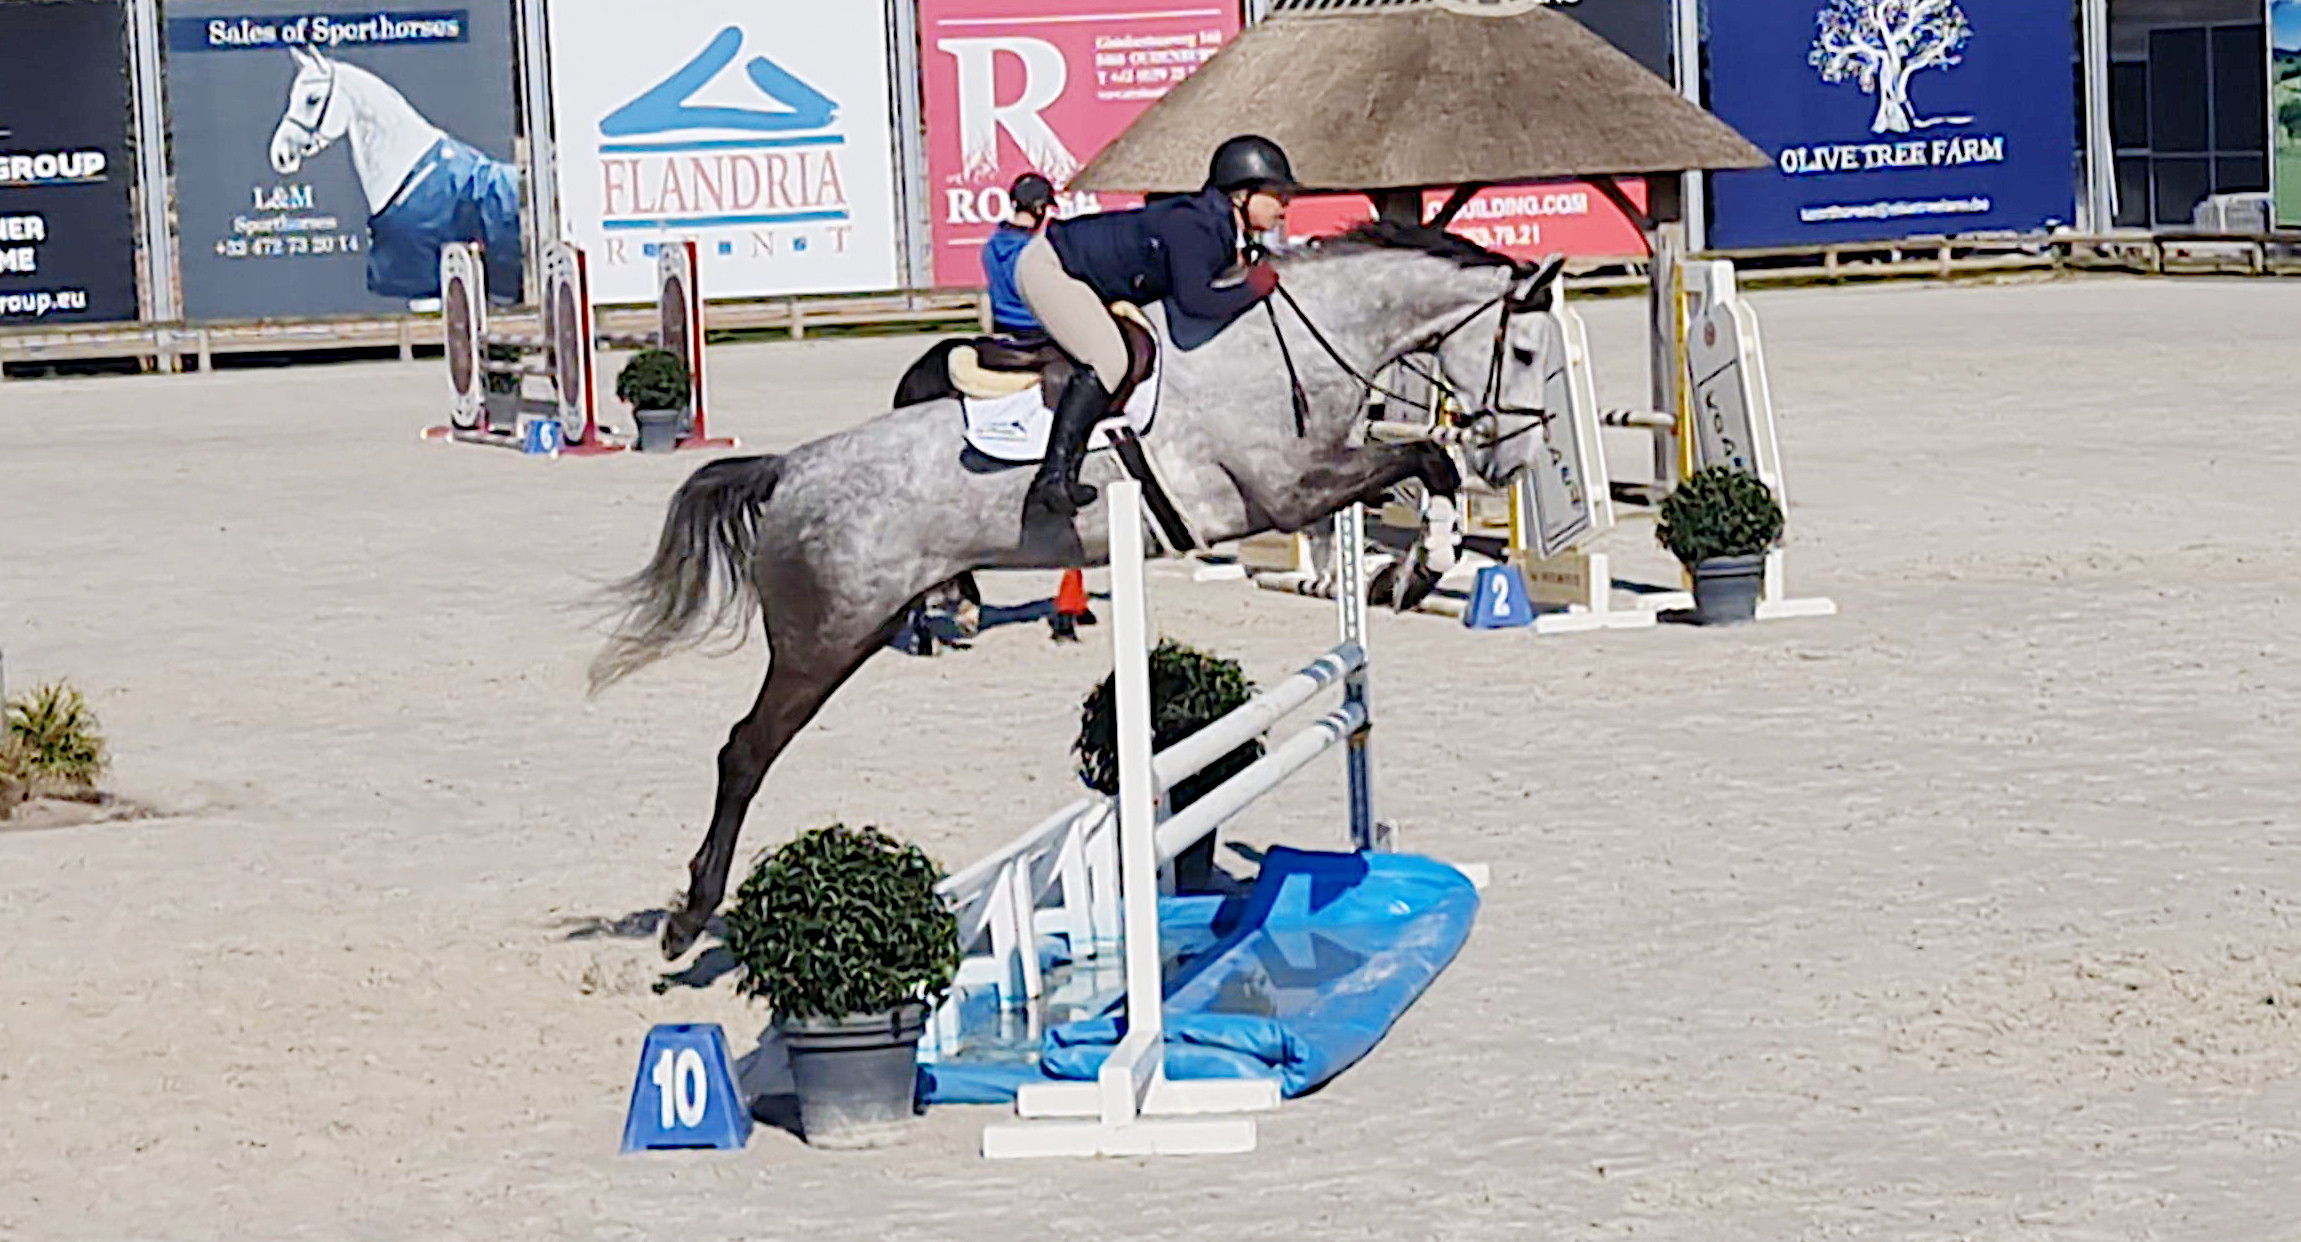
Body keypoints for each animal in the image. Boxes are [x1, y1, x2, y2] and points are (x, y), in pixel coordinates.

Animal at [588, 221, 1564, 960]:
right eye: (1520, 348)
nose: (1512, 460)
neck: (1285, 341)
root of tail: (789, 470)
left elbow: (1419, 466)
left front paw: (1418, 563)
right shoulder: (1284, 492)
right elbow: (1422, 455)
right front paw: (1424, 559)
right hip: (824, 639)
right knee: (744, 753)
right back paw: (689, 918)